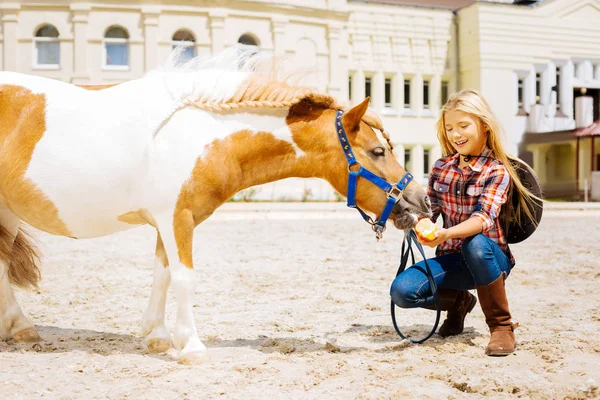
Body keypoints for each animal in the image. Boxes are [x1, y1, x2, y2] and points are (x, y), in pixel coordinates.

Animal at [0, 46, 432, 362]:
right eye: (378, 151)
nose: (421, 201)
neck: (201, 136)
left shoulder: (170, 221)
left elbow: (162, 274)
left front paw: (158, 336)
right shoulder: (175, 218)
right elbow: (184, 277)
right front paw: (190, 347)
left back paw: (19, 328)